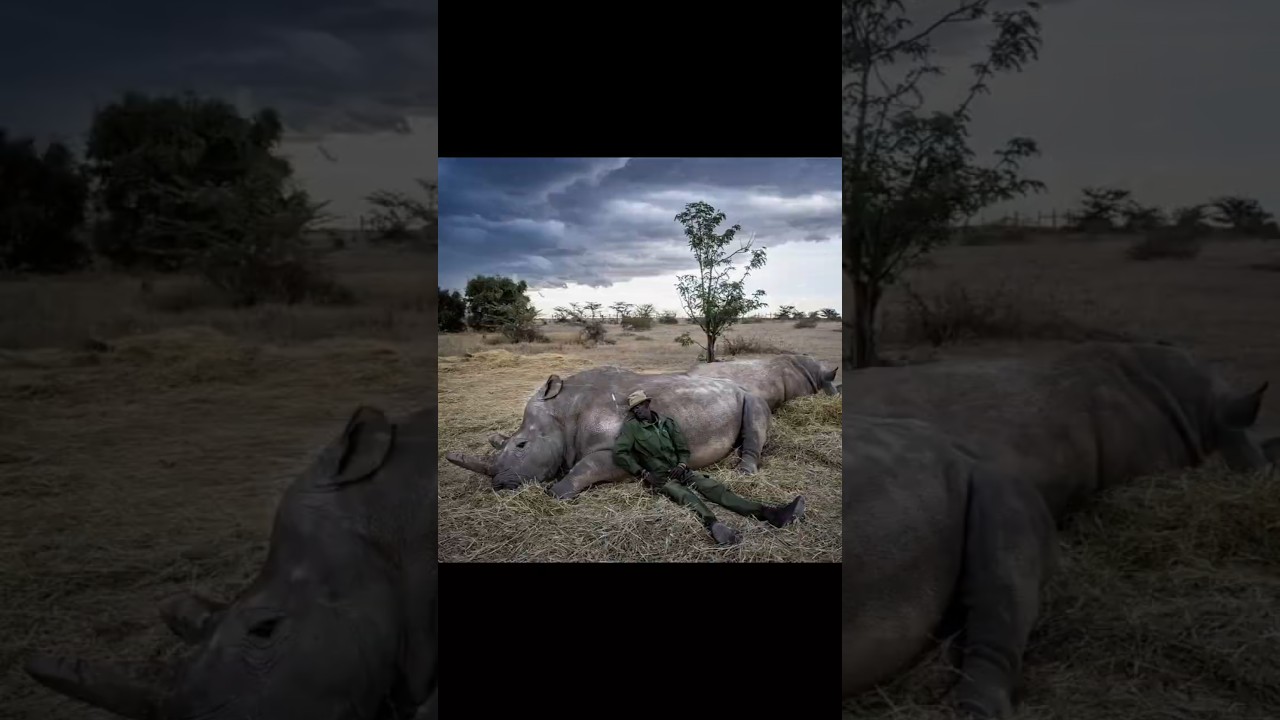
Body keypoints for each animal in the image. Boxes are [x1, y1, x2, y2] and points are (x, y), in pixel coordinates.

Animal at [445, 366, 773, 498]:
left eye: (522, 445)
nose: (499, 485)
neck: (563, 413)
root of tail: (737, 385)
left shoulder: (618, 452)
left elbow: (587, 465)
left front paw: (558, 493)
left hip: (750, 396)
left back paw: (743, 472)